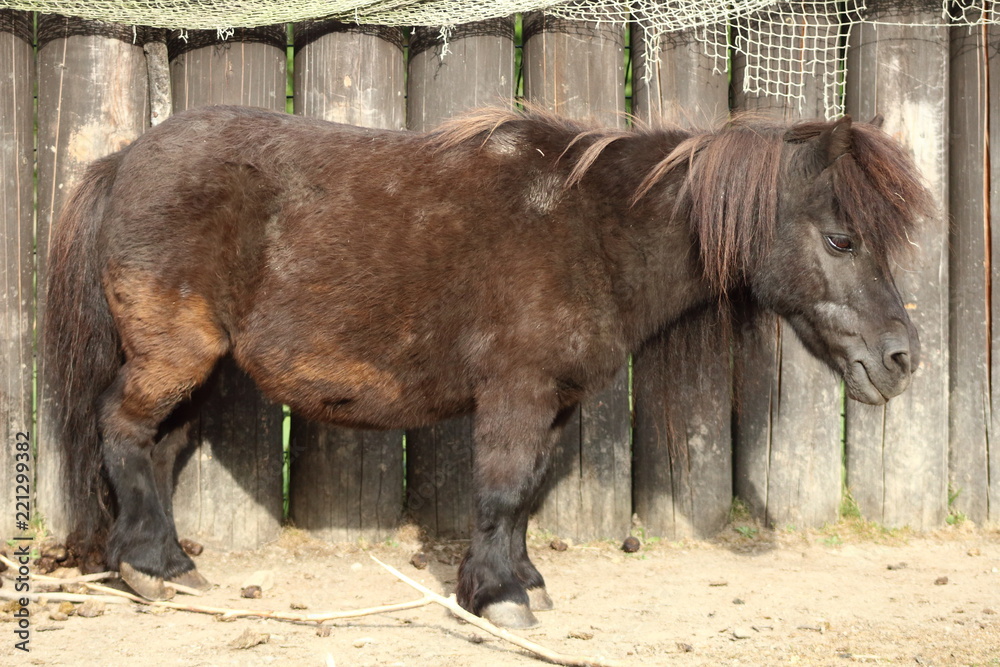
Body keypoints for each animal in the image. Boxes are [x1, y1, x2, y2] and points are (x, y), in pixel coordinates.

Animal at [44, 104, 931, 629]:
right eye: (841, 238)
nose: (901, 358)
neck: (592, 228)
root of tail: (121, 161)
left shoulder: (555, 404)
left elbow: (528, 493)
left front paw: (519, 577)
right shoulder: (517, 393)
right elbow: (502, 489)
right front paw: (499, 598)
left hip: (201, 369)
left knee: (157, 450)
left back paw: (163, 562)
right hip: (175, 353)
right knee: (122, 431)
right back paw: (150, 567)